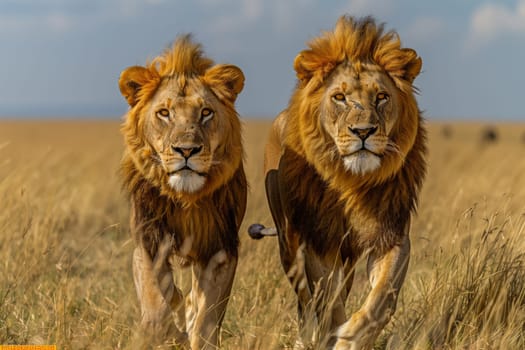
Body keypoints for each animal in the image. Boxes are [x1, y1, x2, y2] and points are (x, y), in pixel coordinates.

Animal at [119, 34, 247, 348]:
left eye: (206, 113)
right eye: (164, 113)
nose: (187, 150)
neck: (185, 197)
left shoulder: (221, 249)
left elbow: (207, 316)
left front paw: (195, 334)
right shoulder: (149, 241)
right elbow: (156, 299)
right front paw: (166, 332)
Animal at [250, 15, 426, 348]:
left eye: (381, 97)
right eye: (340, 98)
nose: (363, 131)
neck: (350, 182)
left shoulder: (392, 237)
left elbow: (380, 300)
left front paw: (351, 338)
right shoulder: (316, 243)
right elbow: (327, 303)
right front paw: (331, 334)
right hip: (289, 245)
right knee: (306, 303)